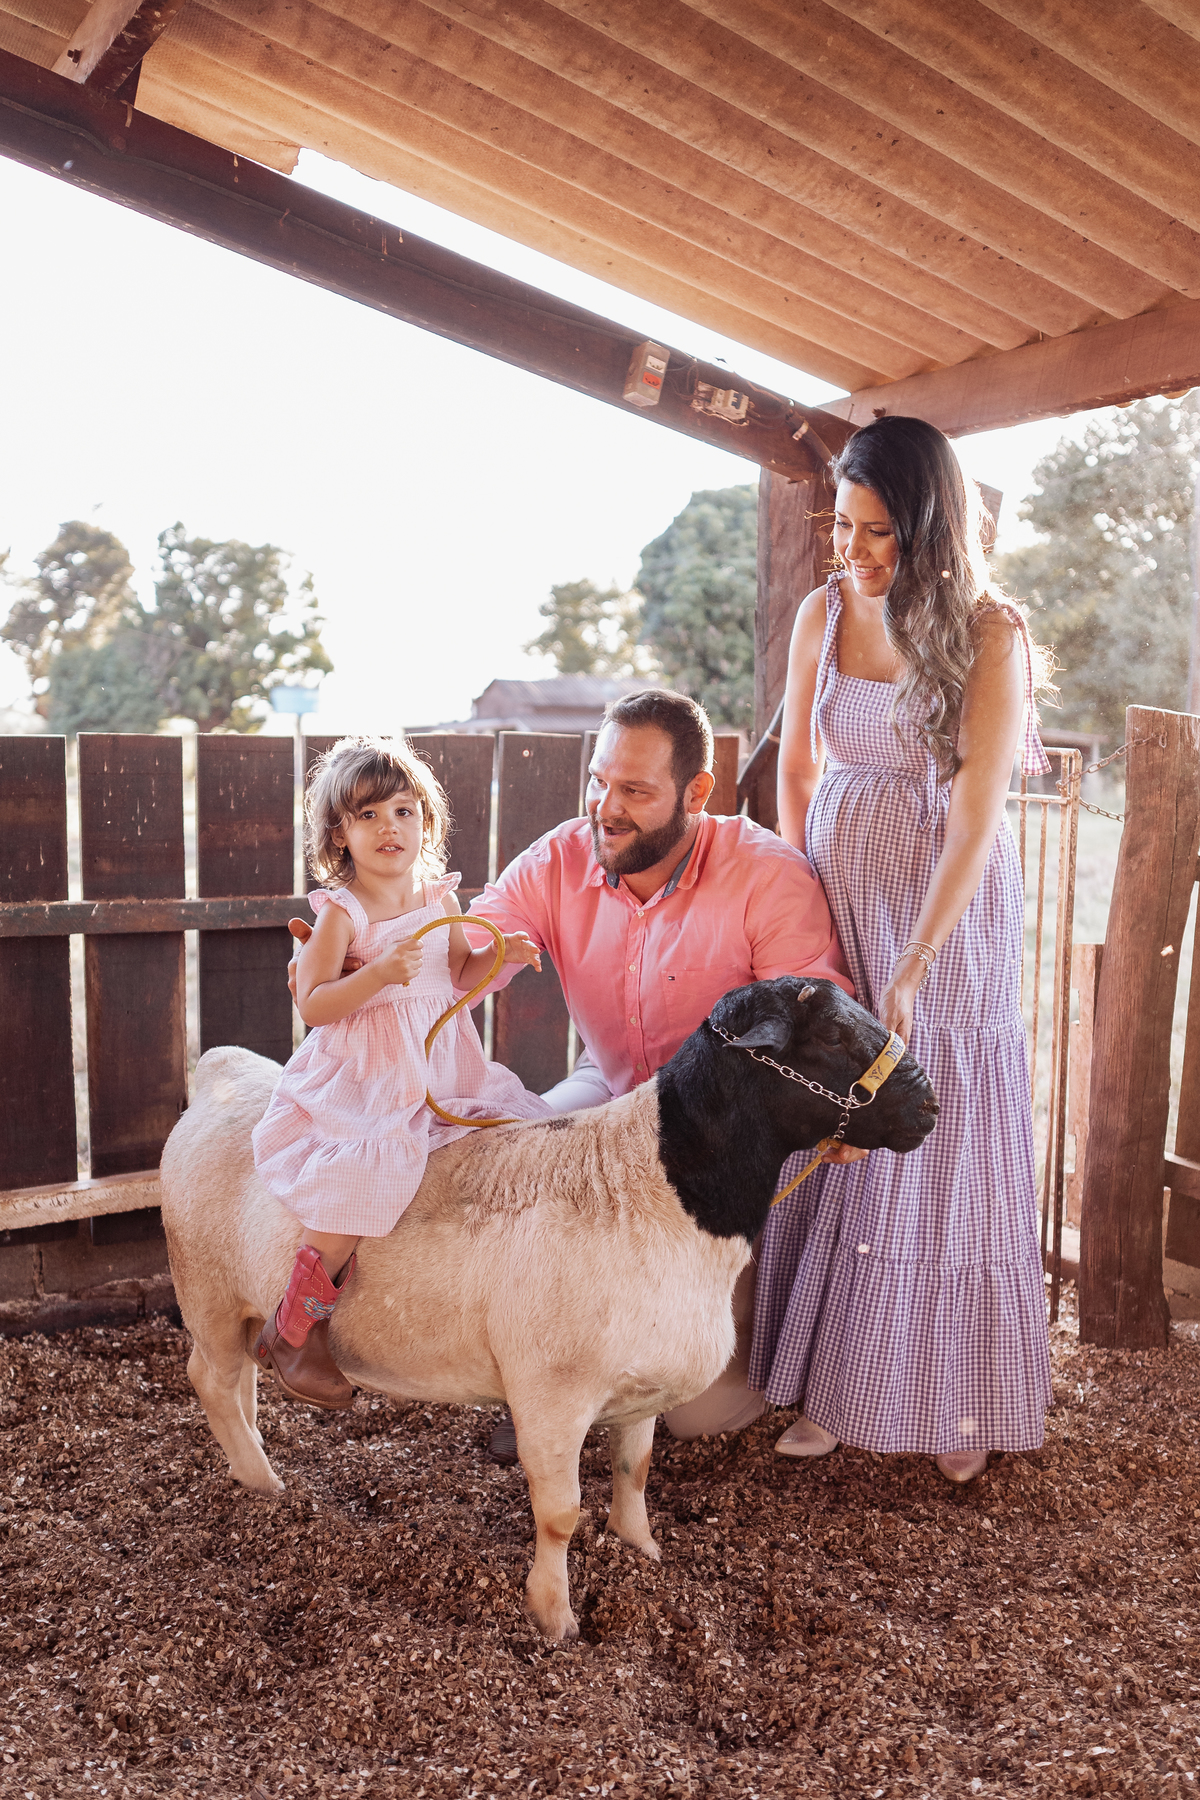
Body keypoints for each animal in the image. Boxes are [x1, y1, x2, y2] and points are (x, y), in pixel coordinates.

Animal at [160, 975, 937, 1640]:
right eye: (830, 1036)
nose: (930, 1106)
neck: (657, 1186)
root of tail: (223, 1071)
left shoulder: (641, 1387)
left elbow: (635, 1471)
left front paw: (641, 1548)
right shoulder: (551, 1395)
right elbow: (560, 1515)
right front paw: (553, 1616)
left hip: (241, 1305)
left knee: (242, 1376)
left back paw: (256, 1455)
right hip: (205, 1289)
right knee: (211, 1380)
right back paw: (263, 1482)